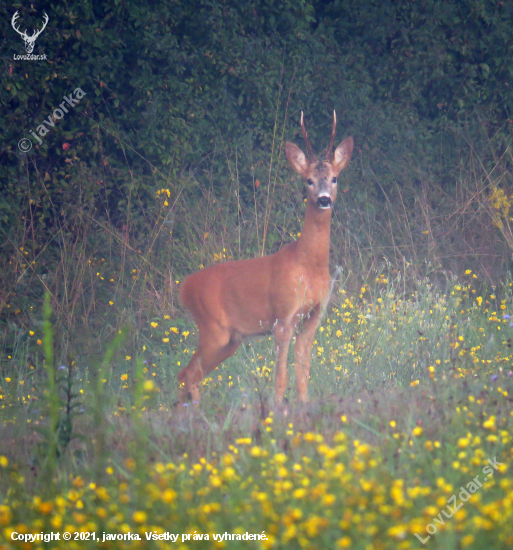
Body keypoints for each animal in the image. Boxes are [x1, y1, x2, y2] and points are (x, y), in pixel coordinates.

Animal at [177, 113, 352, 406]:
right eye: (308, 180)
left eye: (335, 178)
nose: (324, 200)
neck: (309, 266)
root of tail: (183, 287)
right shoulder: (283, 316)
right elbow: (280, 378)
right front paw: (277, 409)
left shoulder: (314, 316)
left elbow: (303, 375)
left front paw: (304, 407)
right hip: (213, 328)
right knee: (188, 374)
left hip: (230, 339)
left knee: (188, 375)